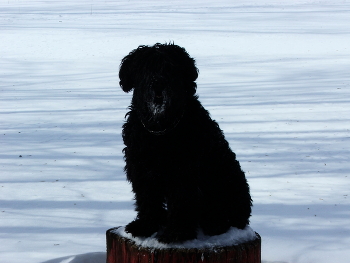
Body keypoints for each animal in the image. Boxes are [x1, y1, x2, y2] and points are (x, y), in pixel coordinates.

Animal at [119, 43, 252, 245]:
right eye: (145, 67)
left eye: (170, 67)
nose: (158, 83)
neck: (160, 130)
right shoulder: (142, 171)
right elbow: (148, 201)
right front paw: (145, 226)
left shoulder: (184, 175)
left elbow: (181, 204)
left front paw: (176, 233)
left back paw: (216, 224)